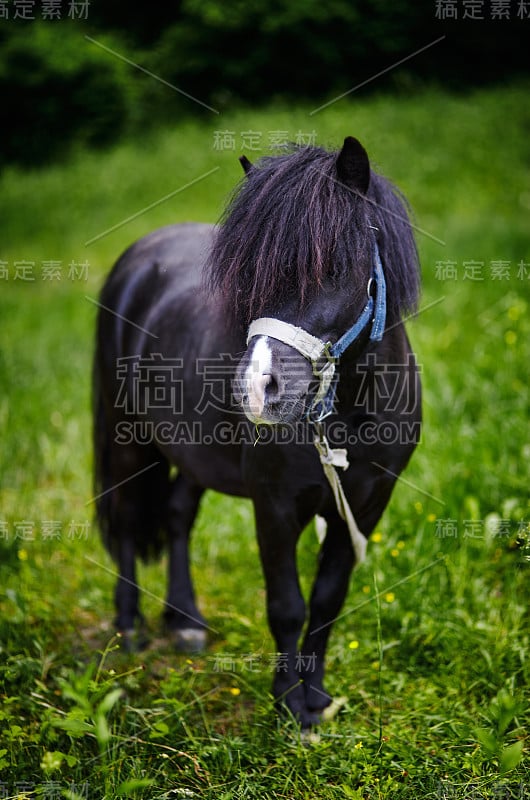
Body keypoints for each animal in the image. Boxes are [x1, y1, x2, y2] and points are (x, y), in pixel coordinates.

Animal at [93, 139, 418, 732]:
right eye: (248, 277)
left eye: (336, 265)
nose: (256, 390)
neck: (348, 416)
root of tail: (140, 254)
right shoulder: (274, 505)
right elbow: (287, 606)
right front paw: (289, 704)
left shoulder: (366, 504)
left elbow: (327, 600)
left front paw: (317, 699)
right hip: (127, 437)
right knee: (126, 519)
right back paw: (129, 627)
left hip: (192, 454)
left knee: (177, 514)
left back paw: (185, 621)